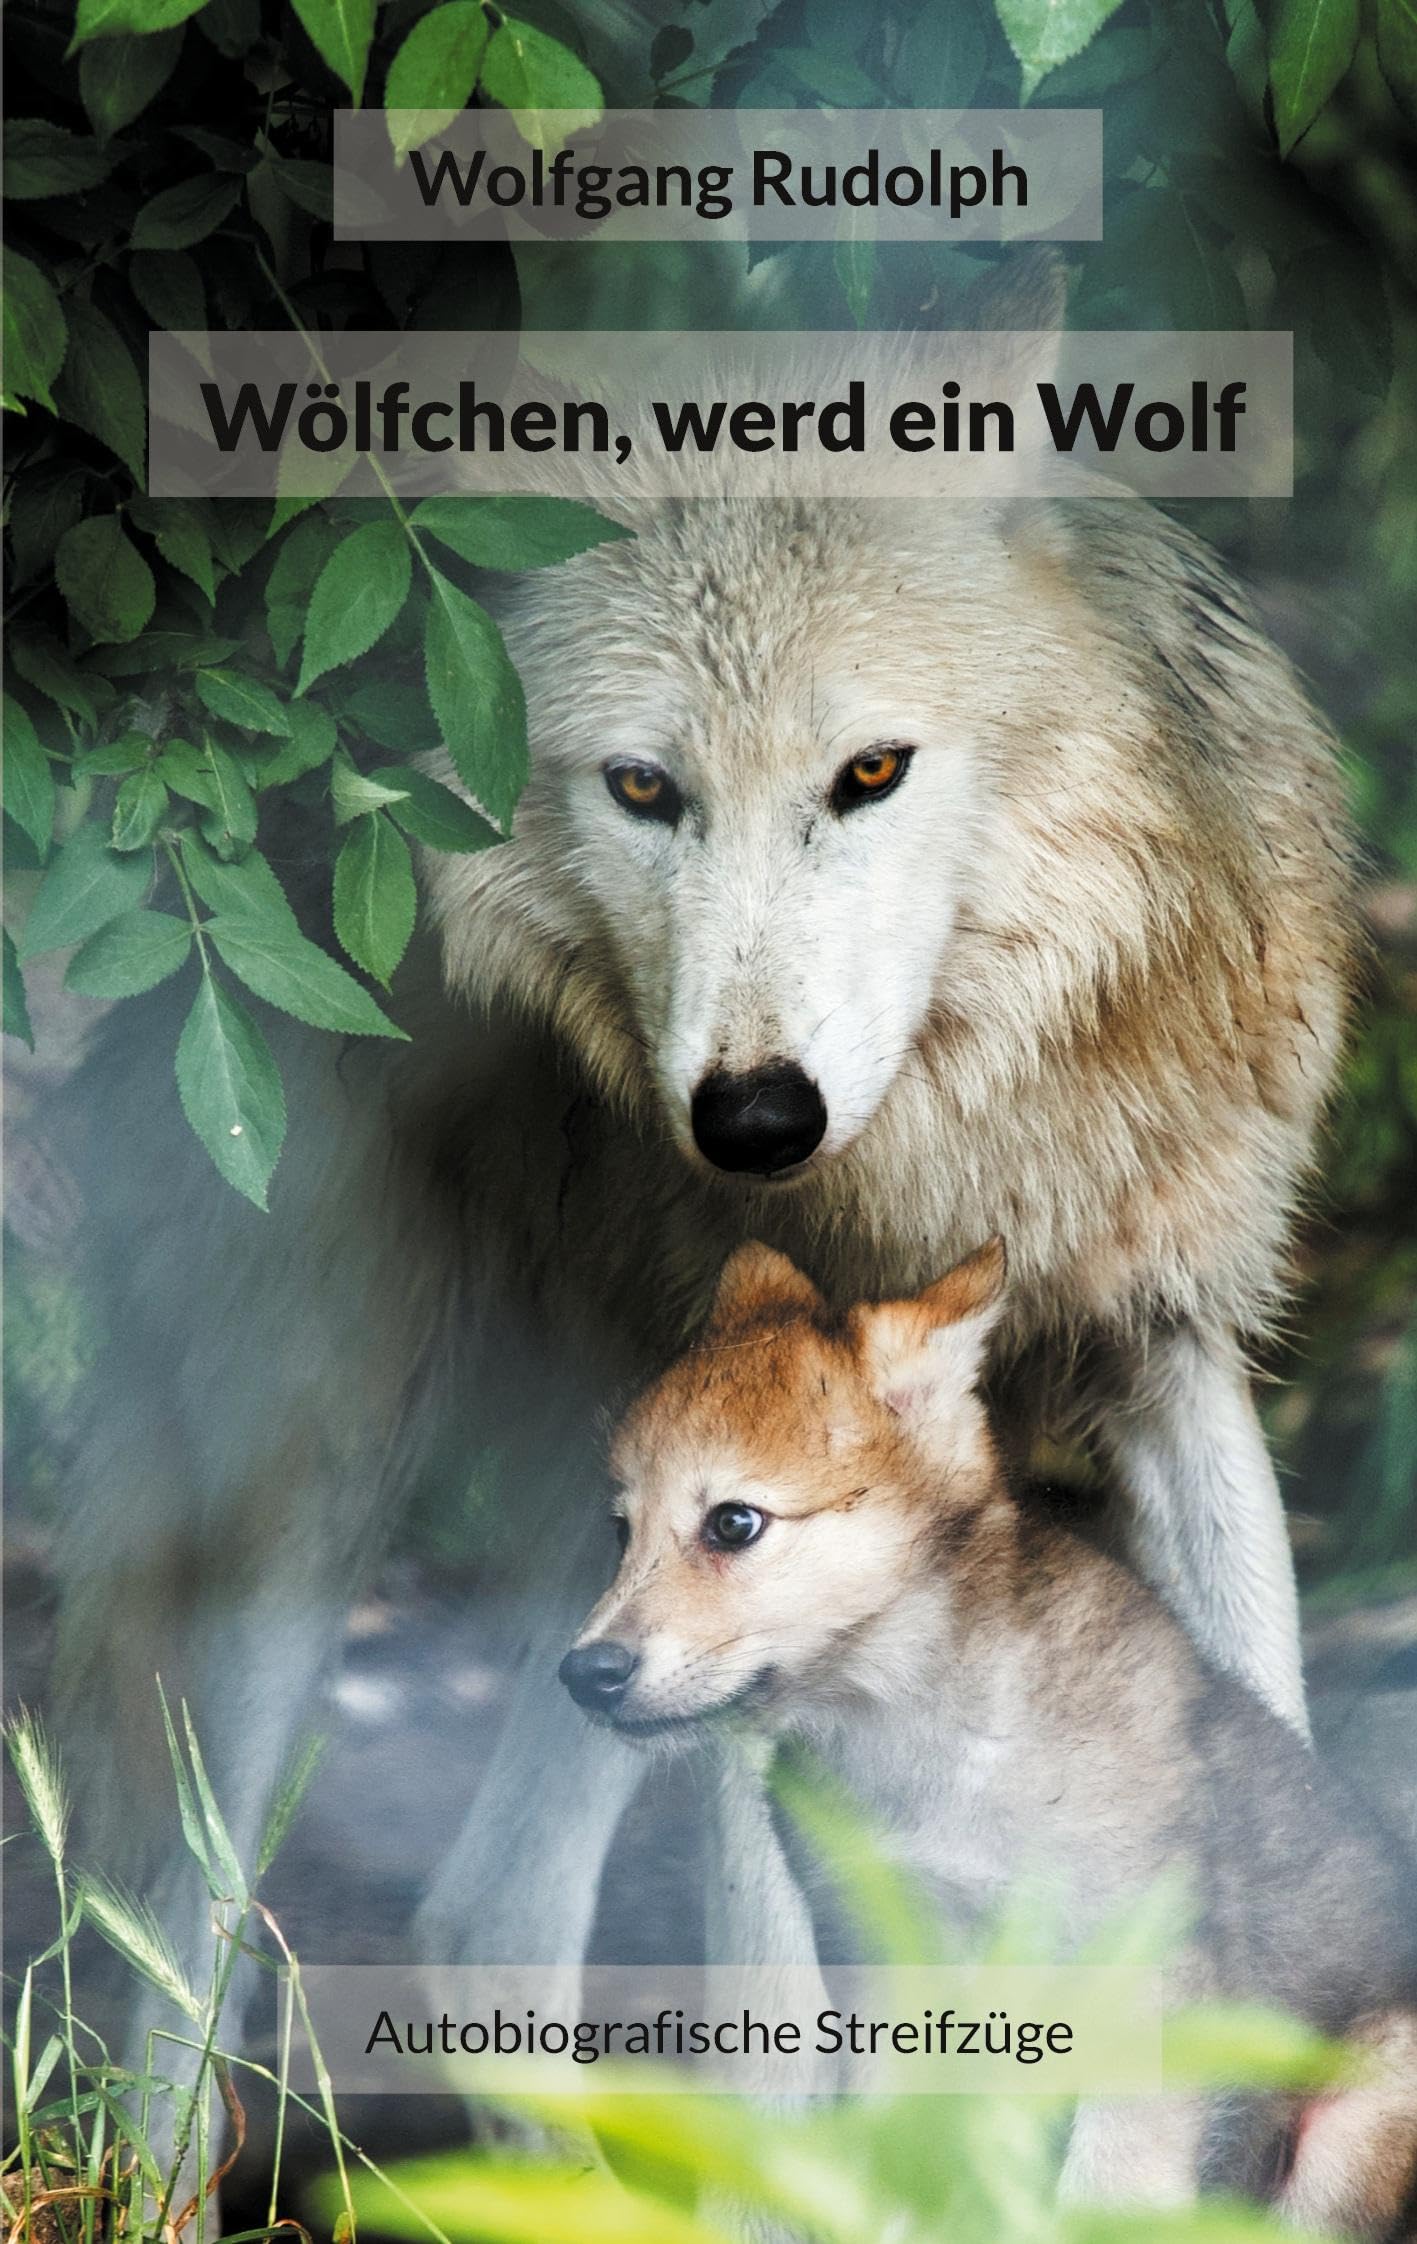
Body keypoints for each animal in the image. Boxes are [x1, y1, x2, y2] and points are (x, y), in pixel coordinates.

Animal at [48, 299, 1353, 2070]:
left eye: (871, 771)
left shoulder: (1169, 1363)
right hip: (316, 1481)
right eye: (641, 787)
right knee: (183, 1951)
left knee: (485, 1926)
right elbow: (787, 2019)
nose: (751, 1120)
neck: (937, 1174)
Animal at [563, 1238, 1417, 2234]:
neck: (924, 1739)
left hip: (1352, 2123)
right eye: (620, 1530)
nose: (583, 1674)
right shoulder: (901, 1983)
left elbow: (1102, 2194)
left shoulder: (1142, 1987)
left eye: (733, 1522)